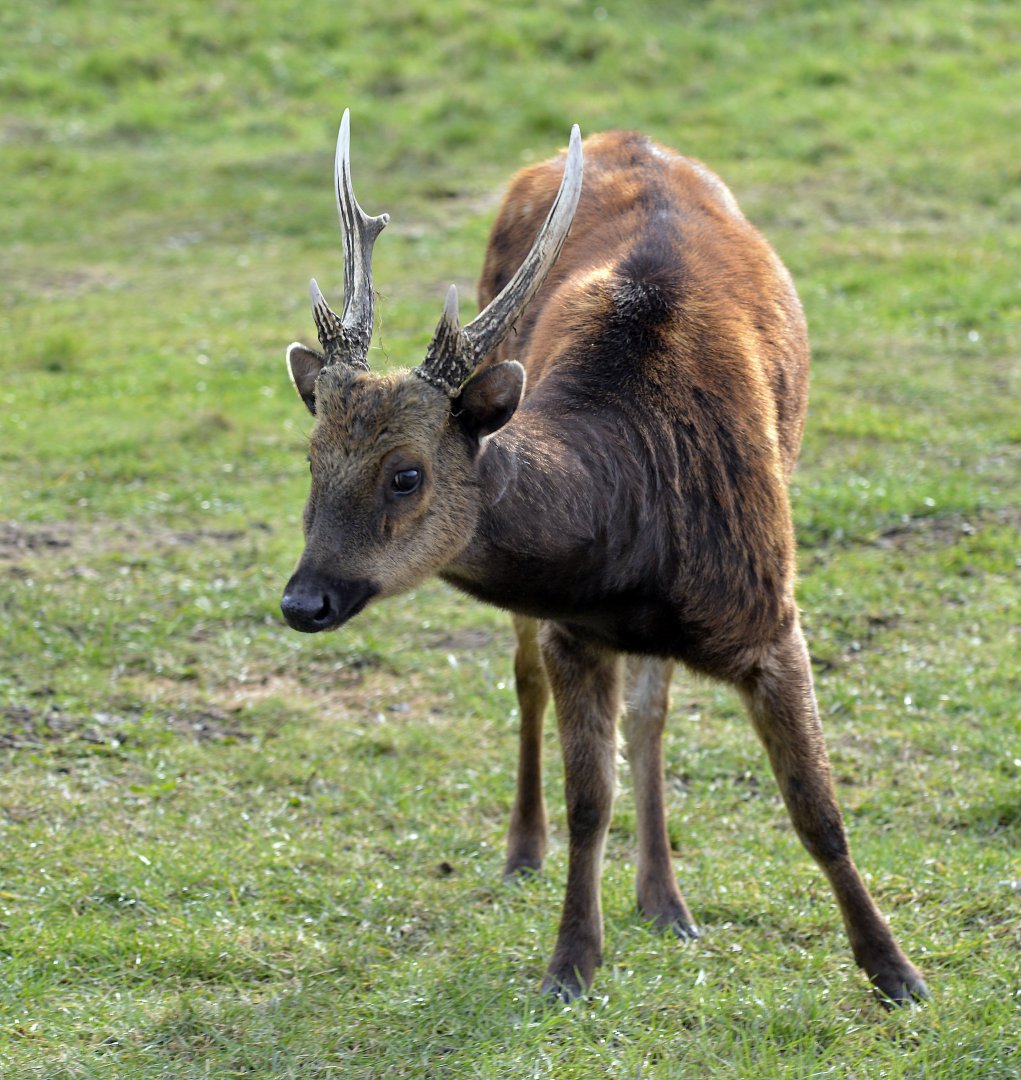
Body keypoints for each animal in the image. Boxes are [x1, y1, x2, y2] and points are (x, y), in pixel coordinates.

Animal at [279, 110, 929, 1005]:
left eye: (406, 473)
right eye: (310, 461)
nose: (303, 600)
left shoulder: (771, 613)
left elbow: (817, 812)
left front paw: (895, 969)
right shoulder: (573, 630)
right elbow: (589, 801)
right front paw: (570, 964)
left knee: (651, 716)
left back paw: (665, 899)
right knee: (527, 684)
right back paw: (526, 850)